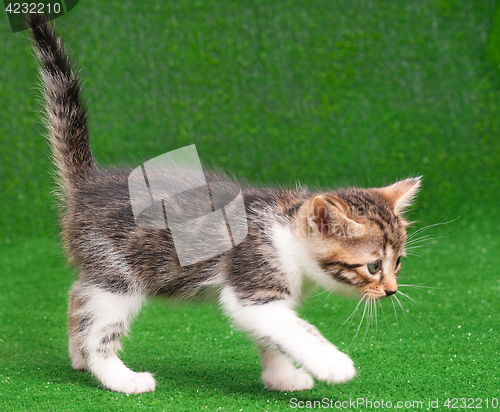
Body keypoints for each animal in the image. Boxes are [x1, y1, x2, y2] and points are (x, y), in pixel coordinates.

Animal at [26, 14, 418, 394]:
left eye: (397, 262)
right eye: (373, 266)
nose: (391, 290)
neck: (286, 233)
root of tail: (90, 182)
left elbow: (274, 337)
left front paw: (282, 378)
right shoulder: (253, 282)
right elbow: (294, 329)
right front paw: (332, 364)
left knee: (78, 295)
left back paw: (78, 356)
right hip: (119, 273)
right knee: (98, 330)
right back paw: (120, 378)